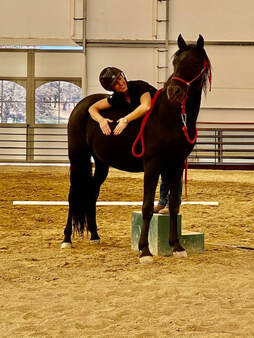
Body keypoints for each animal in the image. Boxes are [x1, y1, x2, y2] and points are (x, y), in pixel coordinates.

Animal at [61, 34, 210, 262]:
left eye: (194, 63)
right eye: (175, 63)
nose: (174, 91)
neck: (170, 118)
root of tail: (82, 106)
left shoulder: (175, 166)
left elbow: (174, 205)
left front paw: (177, 247)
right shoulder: (152, 166)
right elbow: (147, 207)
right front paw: (145, 250)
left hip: (101, 163)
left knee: (92, 193)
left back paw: (95, 235)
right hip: (77, 159)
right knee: (73, 194)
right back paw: (67, 239)